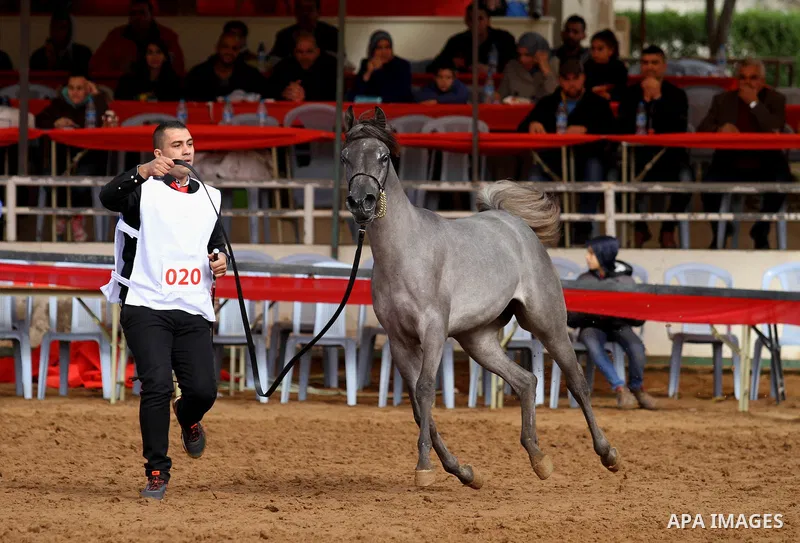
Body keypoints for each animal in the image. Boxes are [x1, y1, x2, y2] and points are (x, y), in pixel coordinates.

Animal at [341, 106, 620, 488]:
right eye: (345, 157)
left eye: (383, 156)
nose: (361, 202)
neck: (405, 254)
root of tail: (513, 222)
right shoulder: (399, 341)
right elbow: (416, 406)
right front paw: (463, 472)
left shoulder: (433, 331)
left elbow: (426, 390)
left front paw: (425, 469)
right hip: (479, 340)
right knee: (526, 381)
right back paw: (539, 459)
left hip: (547, 322)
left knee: (576, 380)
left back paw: (608, 454)